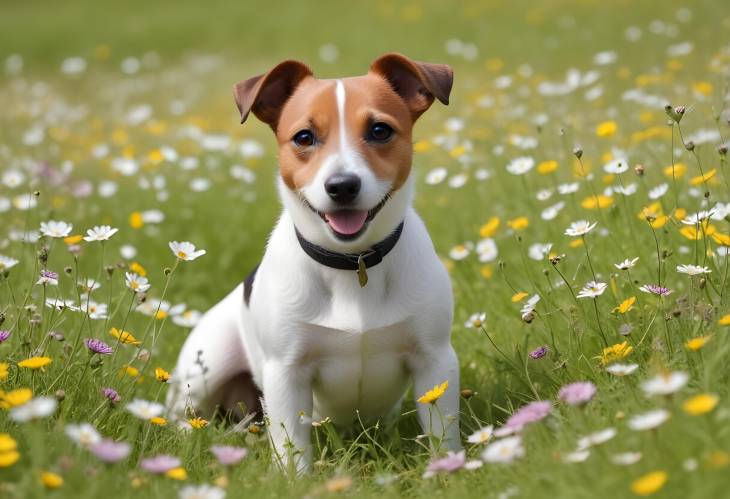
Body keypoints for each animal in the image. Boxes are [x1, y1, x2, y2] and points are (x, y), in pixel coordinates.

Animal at [168, 53, 458, 472]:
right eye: (304, 137)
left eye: (380, 130)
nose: (342, 186)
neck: (352, 264)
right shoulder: (286, 373)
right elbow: (292, 447)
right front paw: (294, 480)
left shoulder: (435, 359)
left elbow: (442, 432)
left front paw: (448, 469)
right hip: (208, 364)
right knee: (182, 410)